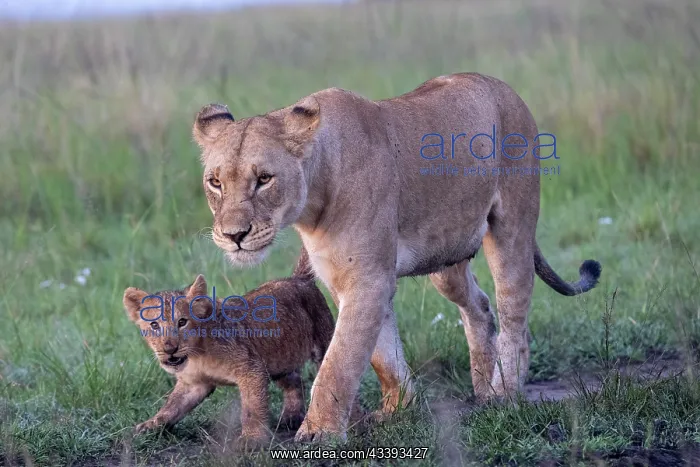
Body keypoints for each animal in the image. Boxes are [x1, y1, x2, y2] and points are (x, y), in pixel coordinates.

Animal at [191, 72, 602, 443]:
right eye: (215, 182)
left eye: (264, 179)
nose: (234, 236)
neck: (312, 203)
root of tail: (502, 86)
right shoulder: (347, 280)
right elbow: (382, 355)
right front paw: (398, 410)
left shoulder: (367, 280)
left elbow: (339, 362)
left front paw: (319, 432)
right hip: (446, 257)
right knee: (480, 306)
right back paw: (484, 389)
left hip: (513, 227)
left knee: (514, 314)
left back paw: (505, 392)